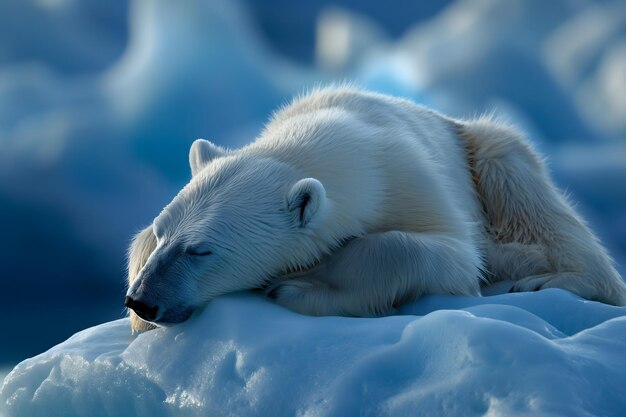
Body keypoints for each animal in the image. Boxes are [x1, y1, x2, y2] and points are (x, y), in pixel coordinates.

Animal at [124, 86, 624, 330]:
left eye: (201, 251)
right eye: (164, 232)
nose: (141, 300)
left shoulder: (413, 184)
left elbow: (448, 255)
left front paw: (297, 287)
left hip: (487, 154)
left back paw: (541, 280)